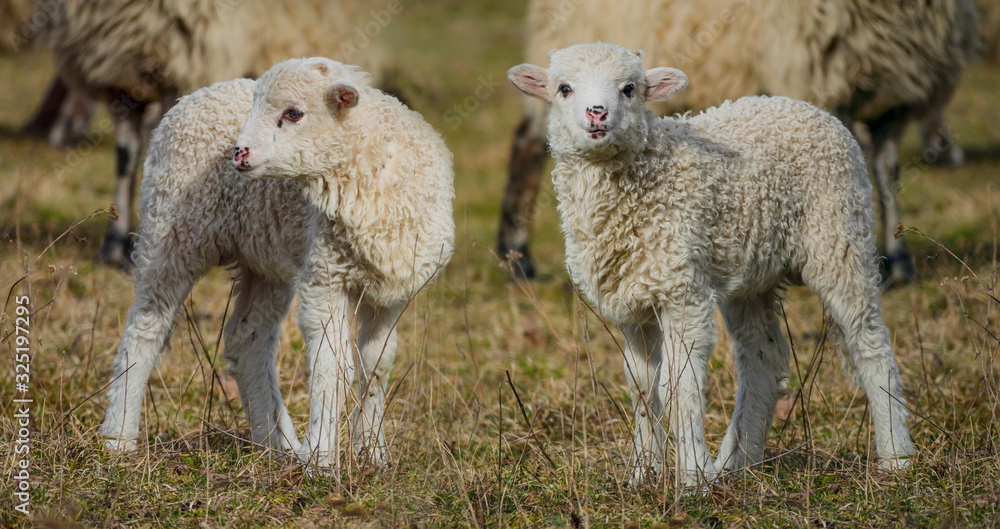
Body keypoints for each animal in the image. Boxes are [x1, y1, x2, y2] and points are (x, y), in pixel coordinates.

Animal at [100, 57, 455, 469]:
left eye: (293, 113)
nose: (238, 153)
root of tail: (199, 93)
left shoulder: (392, 291)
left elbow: (376, 365)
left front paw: (371, 452)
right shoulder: (325, 274)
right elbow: (332, 366)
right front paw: (321, 458)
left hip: (264, 255)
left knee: (247, 338)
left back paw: (276, 441)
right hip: (173, 229)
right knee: (146, 326)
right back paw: (118, 437)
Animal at [500, 0, 980, 287]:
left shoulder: (895, 96)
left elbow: (888, 174)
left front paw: (898, 261)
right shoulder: (815, 74)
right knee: (528, 143)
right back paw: (516, 255)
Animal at [507, 42, 914, 486]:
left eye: (629, 88)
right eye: (563, 88)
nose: (597, 113)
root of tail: (805, 107)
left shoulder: (682, 290)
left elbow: (676, 384)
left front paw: (692, 478)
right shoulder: (633, 301)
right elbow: (641, 385)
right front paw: (643, 473)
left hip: (840, 236)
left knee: (870, 341)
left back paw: (896, 456)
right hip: (753, 272)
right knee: (762, 357)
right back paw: (739, 460)